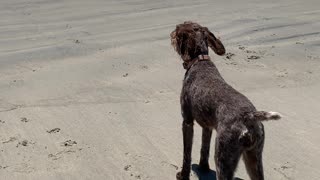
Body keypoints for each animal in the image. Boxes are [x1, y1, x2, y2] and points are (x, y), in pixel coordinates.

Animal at [170, 21, 280, 180]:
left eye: (178, 29)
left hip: (223, 156)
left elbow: (187, 153)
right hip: (254, 157)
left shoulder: (187, 121)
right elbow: (204, 148)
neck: (200, 60)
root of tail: (249, 116)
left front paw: (183, 175)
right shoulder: (207, 126)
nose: (171, 33)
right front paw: (203, 167)